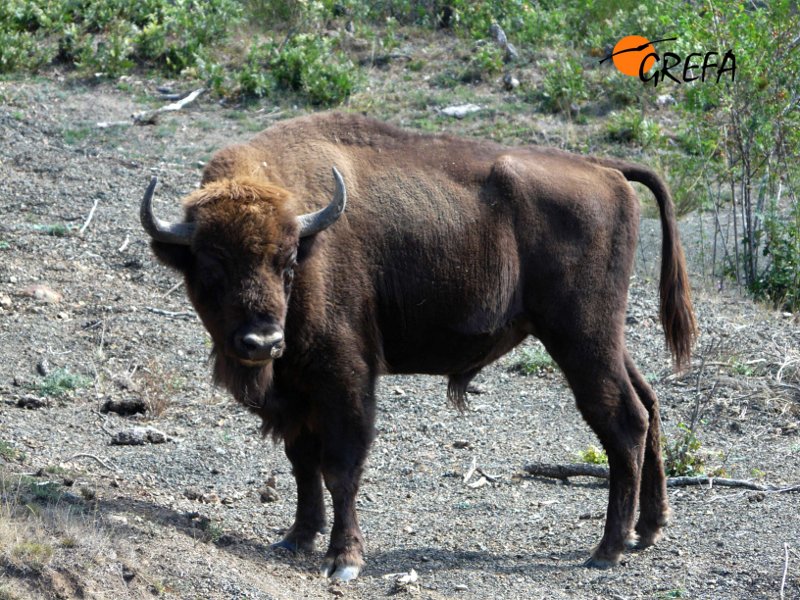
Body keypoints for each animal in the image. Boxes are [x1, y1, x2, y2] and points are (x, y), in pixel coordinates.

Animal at [142, 112, 692, 580]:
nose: (262, 341)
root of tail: (605, 169)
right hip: (602, 339)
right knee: (649, 403)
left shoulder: (345, 379)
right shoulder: (295, 391)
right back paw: (649, 529)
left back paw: (607, 550)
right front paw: (297, 537)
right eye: (209, 267)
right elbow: (302, 463)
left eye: (289, 261)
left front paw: (345, 559)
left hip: (581, 339)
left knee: (624, 421)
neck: (310, 227)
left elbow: (340, 467)